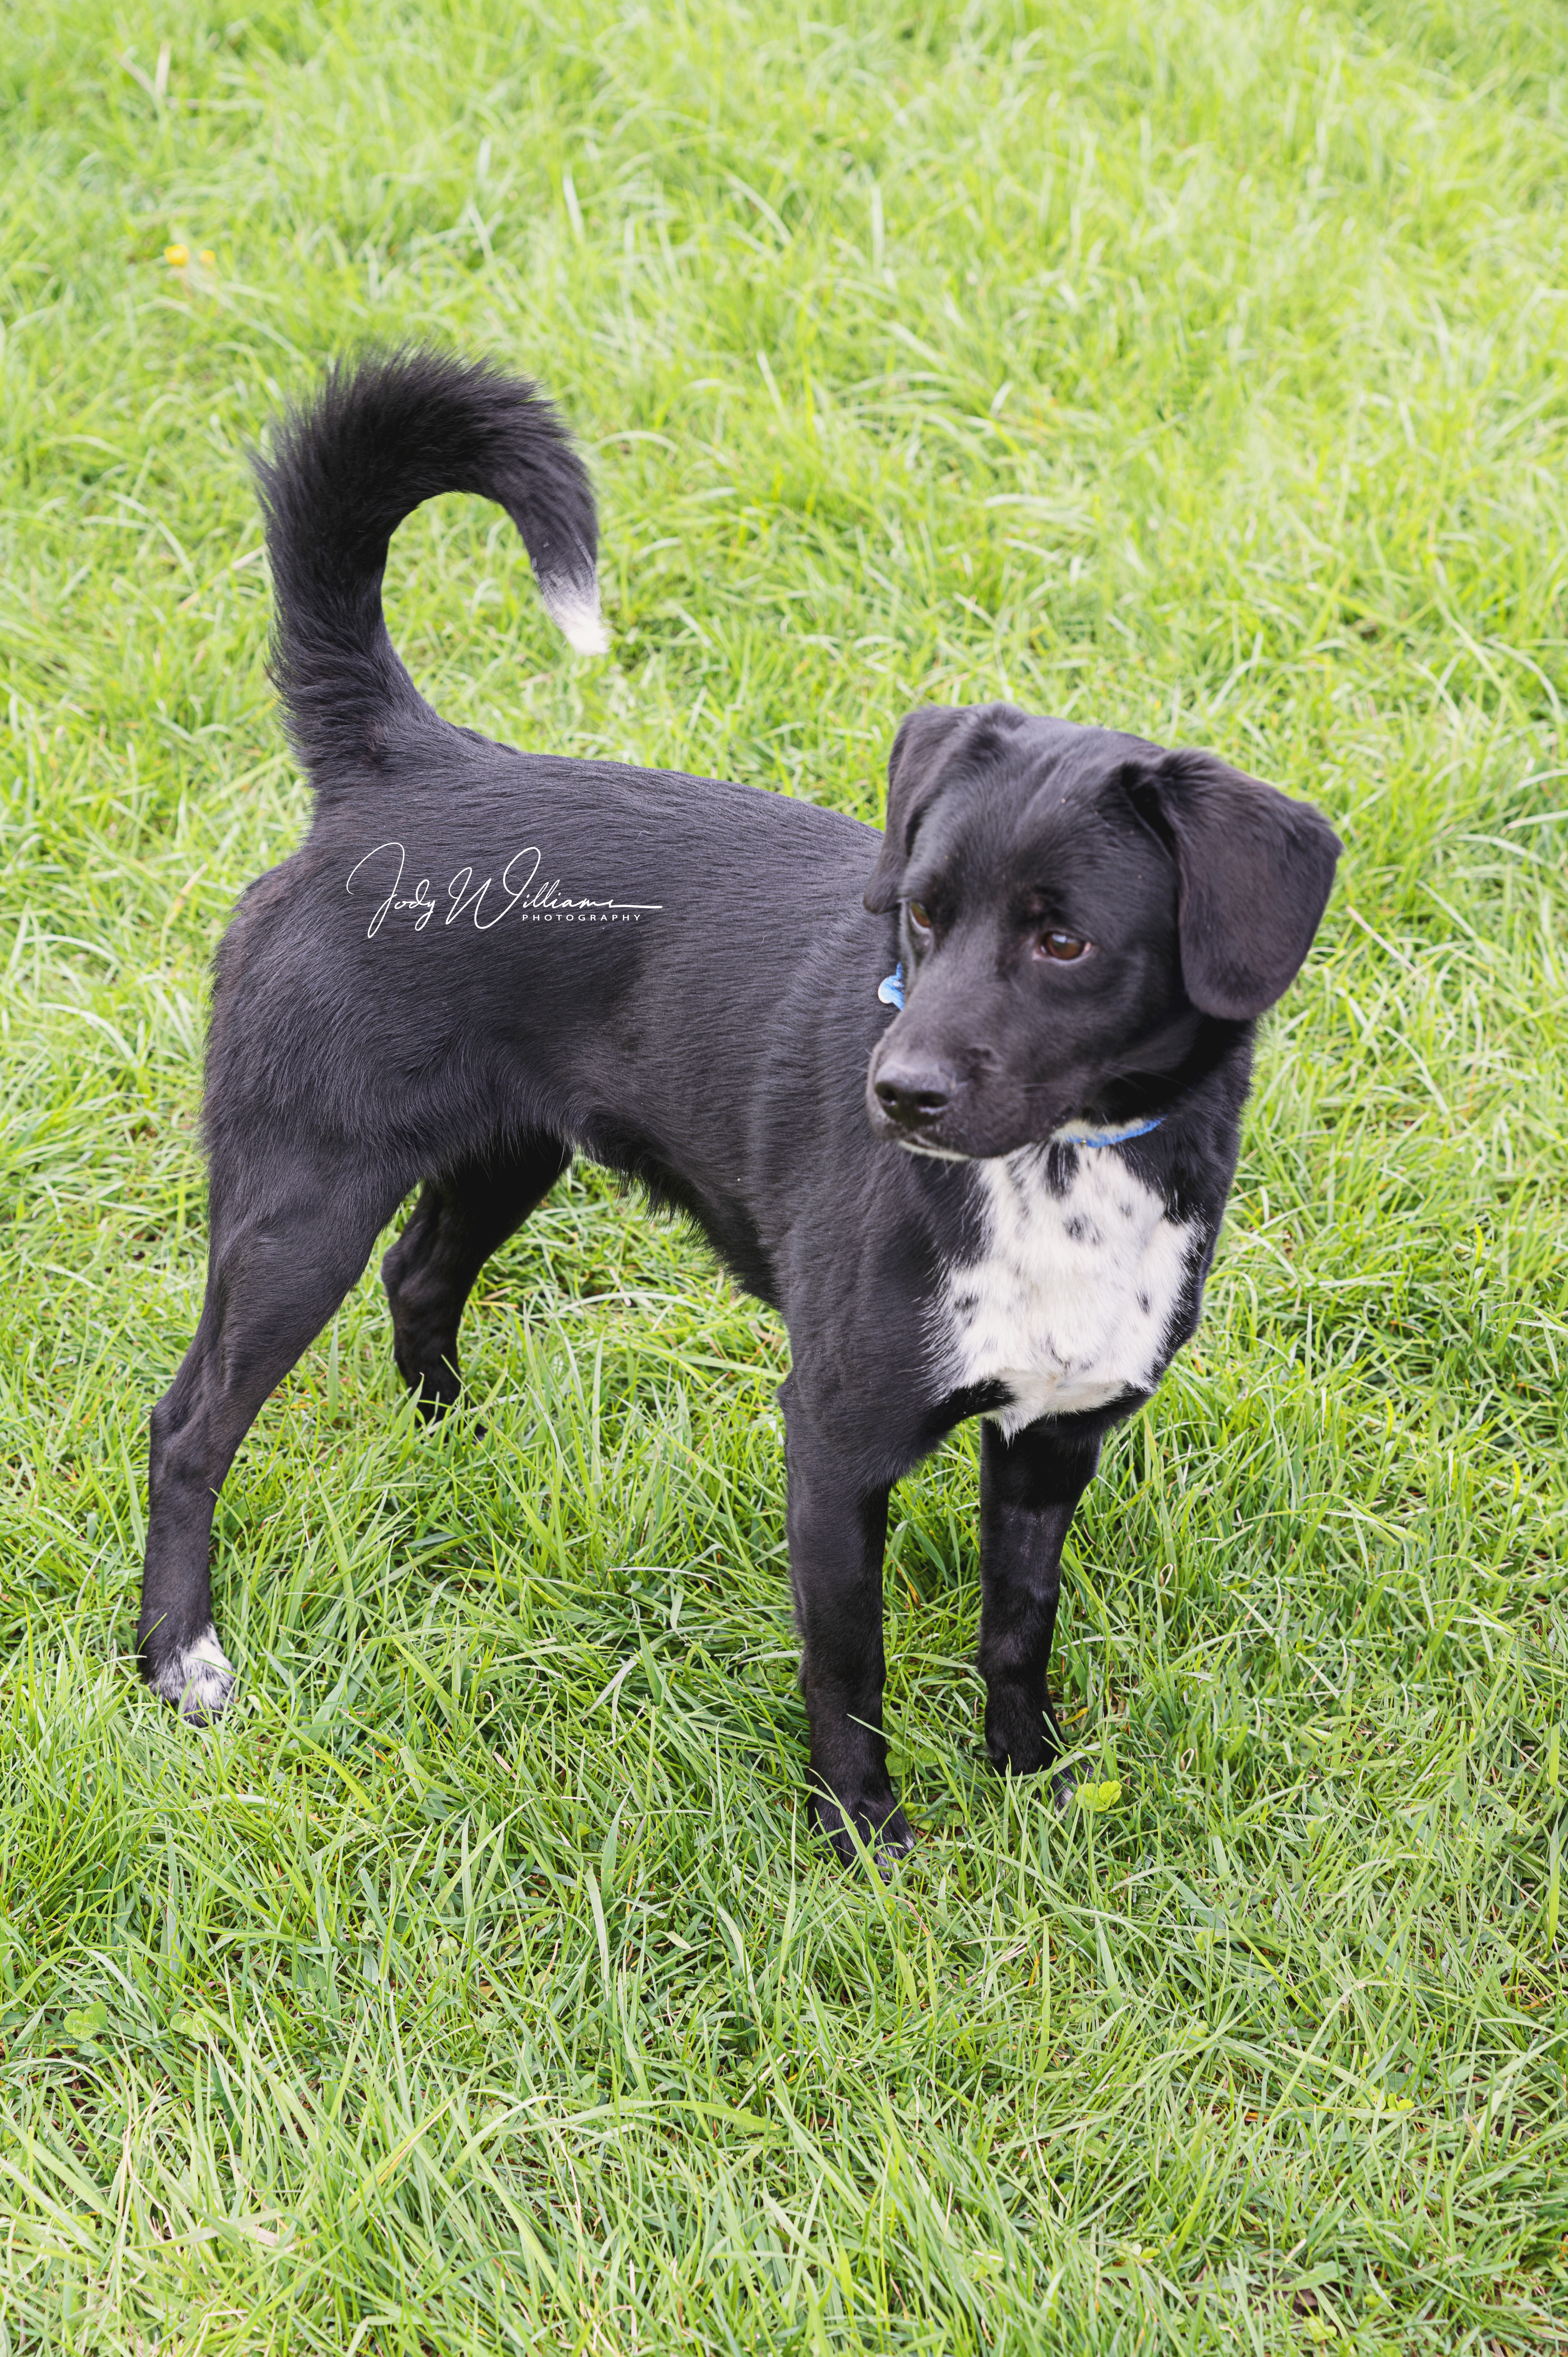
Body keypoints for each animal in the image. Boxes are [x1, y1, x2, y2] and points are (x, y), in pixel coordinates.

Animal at [137, 349, 1330, 1857]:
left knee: (421, 1275)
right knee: (189, 1428)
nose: (896, 1093)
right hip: (300, 1200)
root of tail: (407, 760)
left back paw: (454, 1447)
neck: (1059, 1181)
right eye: (921, 914)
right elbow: (848, 1663)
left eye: (1064, 941)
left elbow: (1018, 1627)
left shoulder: (1051, 1438)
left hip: (505, 1152)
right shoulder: (833, 1441)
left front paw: (1032, 1782)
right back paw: (179, 1658)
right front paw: (864, 1836)